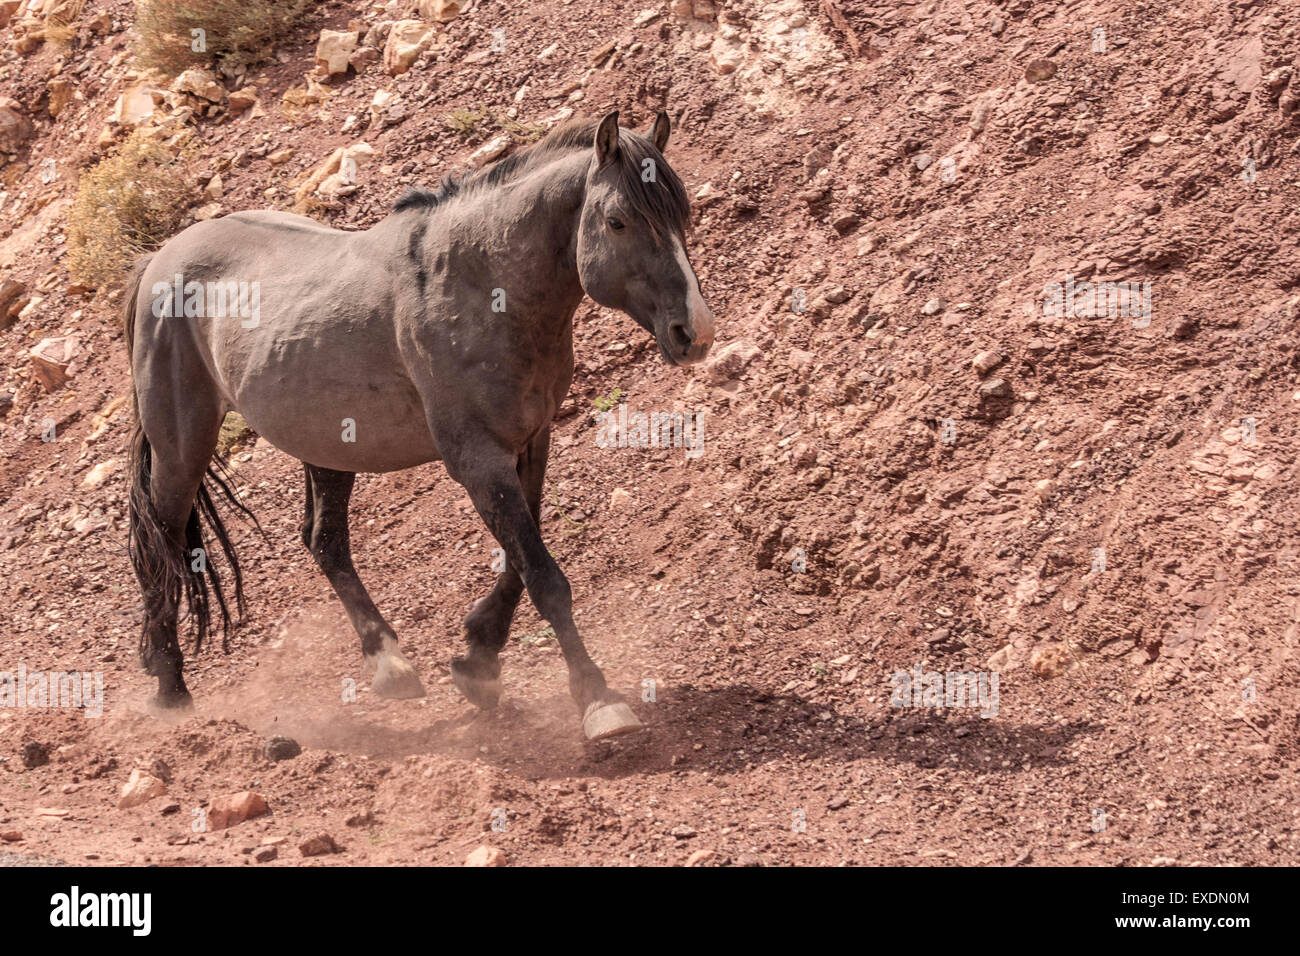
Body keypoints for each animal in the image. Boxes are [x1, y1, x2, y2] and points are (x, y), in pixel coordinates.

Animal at [122, 110, 715, 739]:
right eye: (618, 221)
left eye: (681, 215)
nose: (695, 333)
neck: (481, 284)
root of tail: (159, 261)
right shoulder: (478, 460)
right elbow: (543, 576)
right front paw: (598, 698)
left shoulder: (529, 444)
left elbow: (520, 561)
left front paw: (478, 659)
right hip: (181, 452)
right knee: (161, 549)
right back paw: (170, 687)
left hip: (329, 445)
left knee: (324, 541)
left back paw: (389, 663)